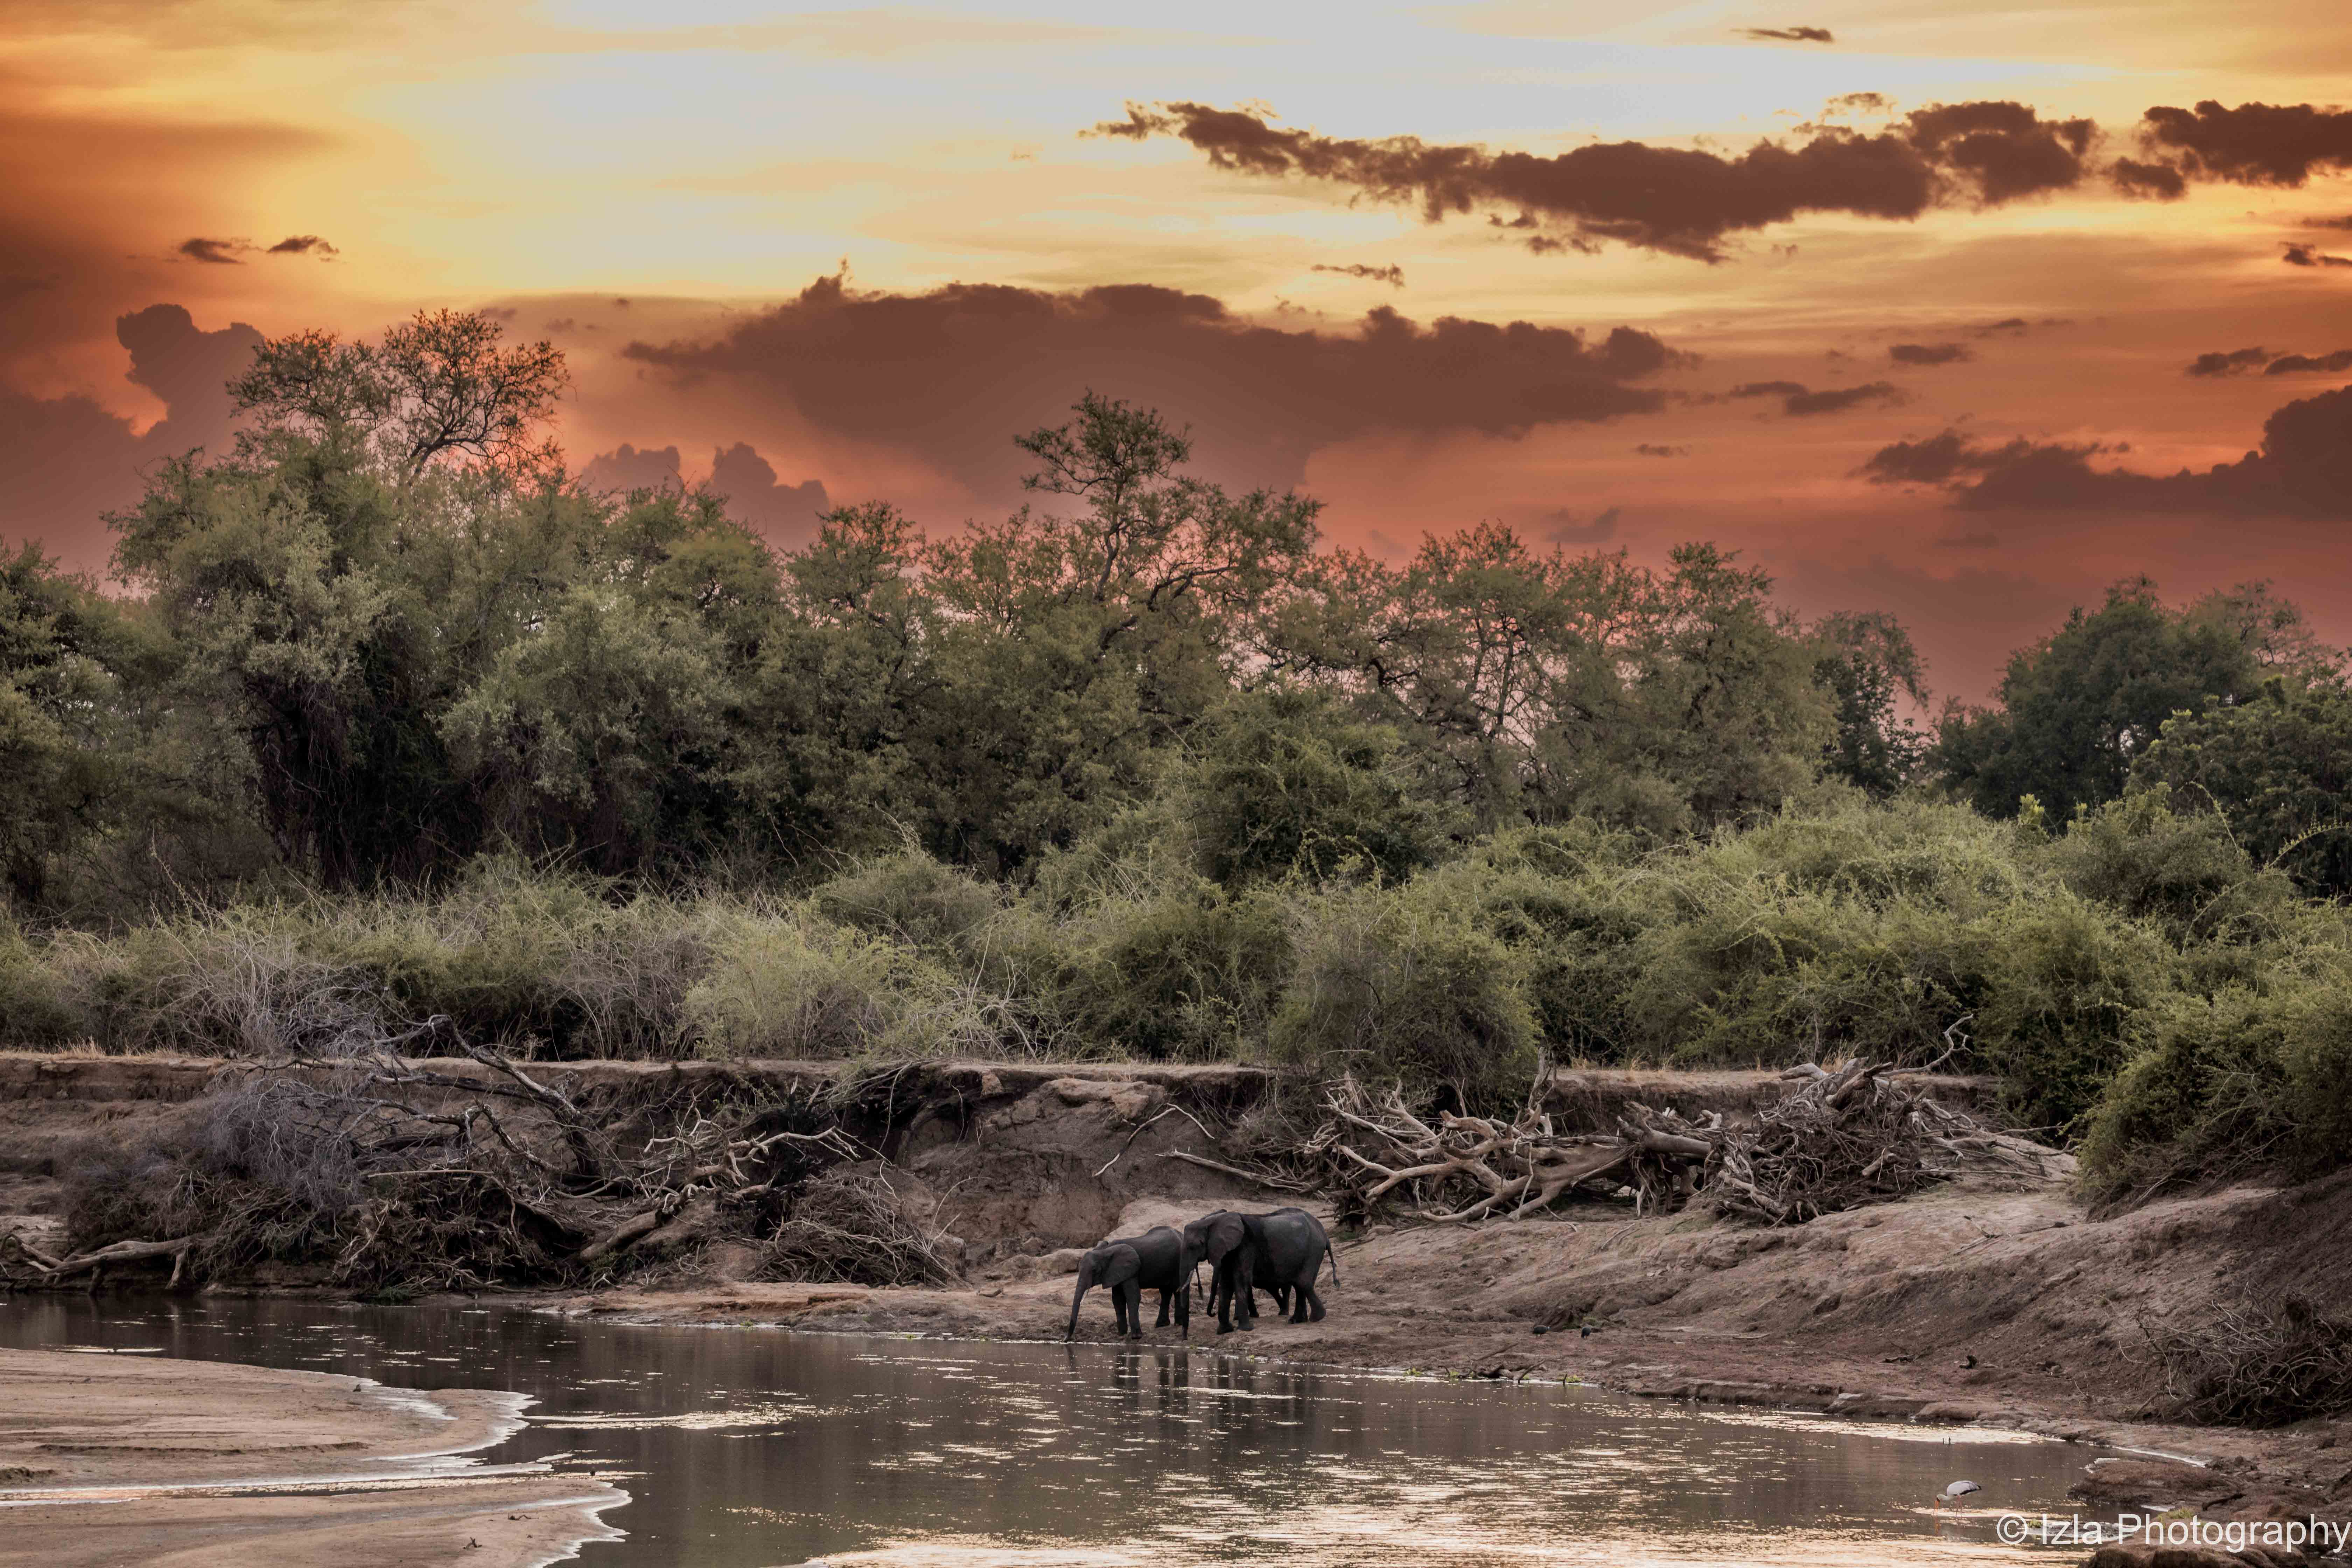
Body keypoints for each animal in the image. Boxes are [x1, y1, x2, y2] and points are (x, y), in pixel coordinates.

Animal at [1065, 1224, 1190, 1341]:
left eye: (1095, 1271)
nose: (1066, 1339)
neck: (1105, 1251)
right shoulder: (1115, 1272)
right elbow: (1117, 1300)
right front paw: (1122, 1334)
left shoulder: (1131, 1269)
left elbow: (1133, 1296)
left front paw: (1136, 1337)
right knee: (1166, 1292)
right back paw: (1162, 1325)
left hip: (1180, 1262)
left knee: (1176, 1289)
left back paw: (1176, 1324)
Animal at [1180, 1207, 1334, 1333]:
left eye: (1195, 1246)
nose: (1211, 1313)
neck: (1212, 1220)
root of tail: (1324, 1233)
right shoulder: (1229, 1252)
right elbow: (1226, 1285)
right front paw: (1224, 1331)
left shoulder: (1245, 1246)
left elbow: (1241, 1280)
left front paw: (1245, 1329)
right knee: (1299, 1284)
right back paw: (1297, 1321)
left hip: (1313, 1250)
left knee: (1303, 1283)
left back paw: (1316, 1318)